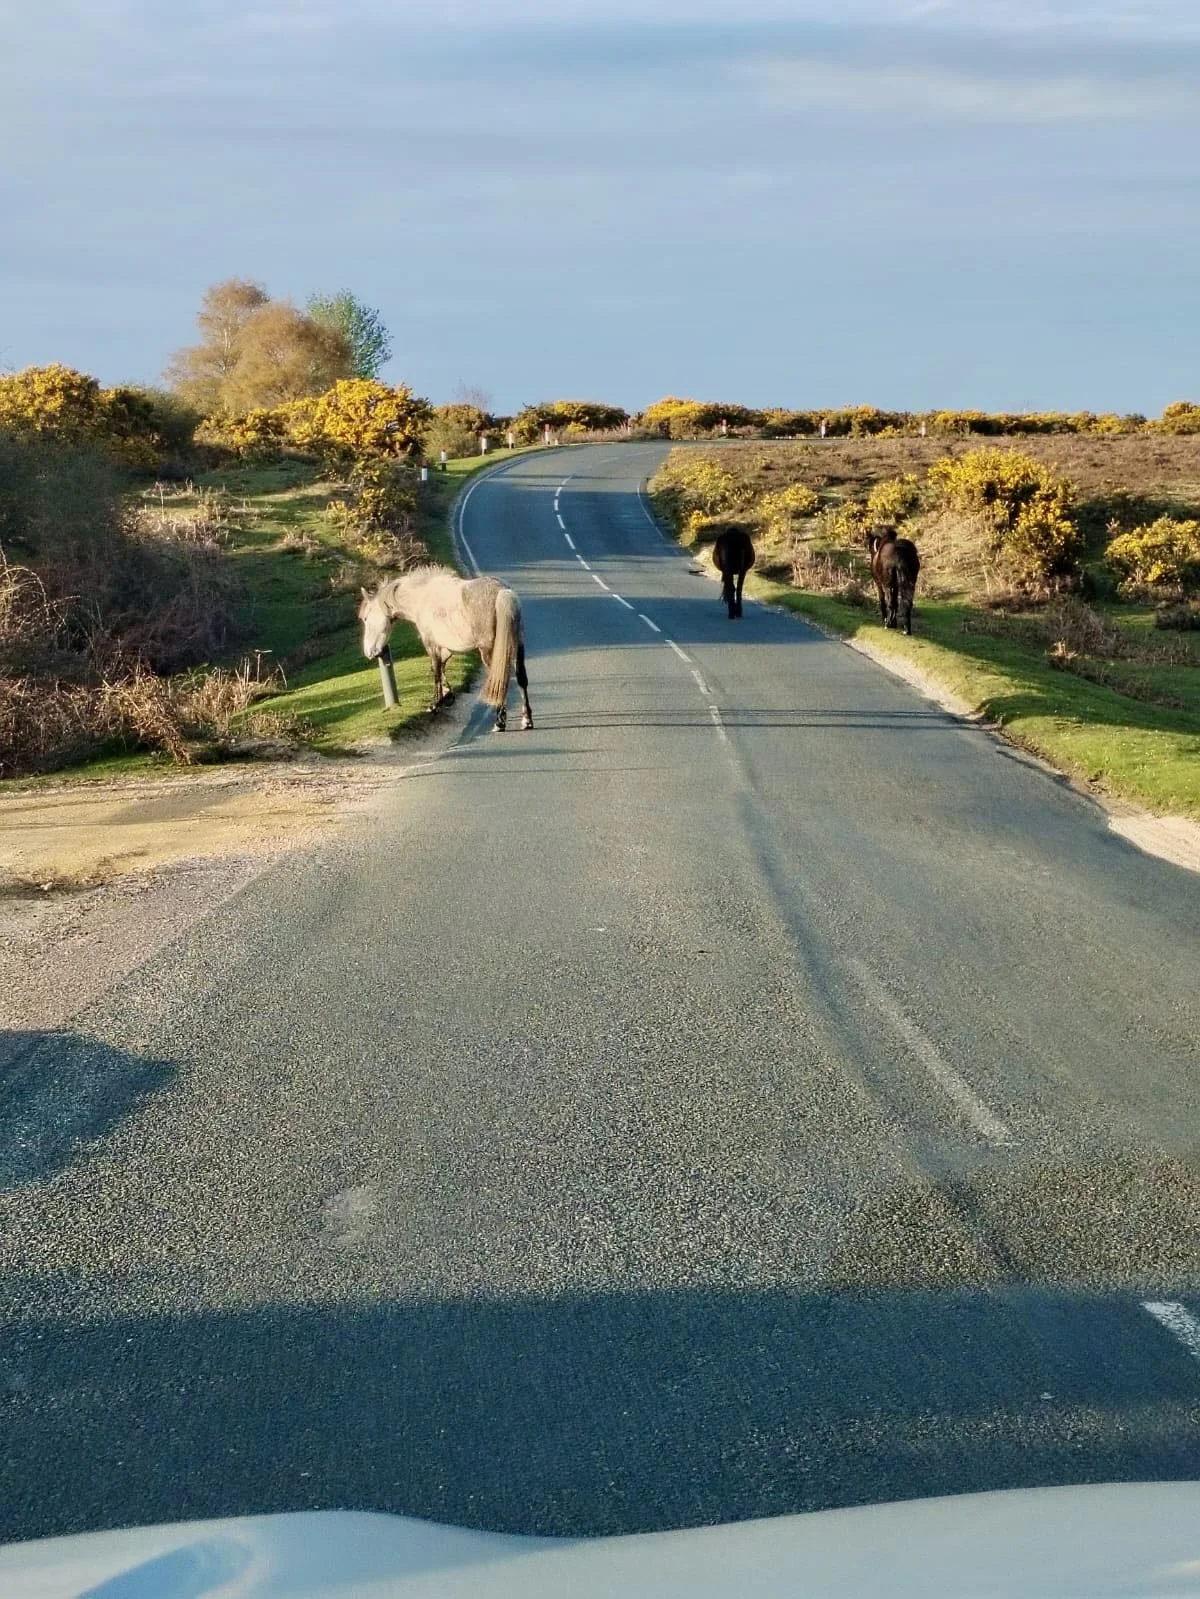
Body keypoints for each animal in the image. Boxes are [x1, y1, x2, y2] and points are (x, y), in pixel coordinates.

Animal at [358, 565, 533, 732]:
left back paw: (499, 722)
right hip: (518, 646)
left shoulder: (432, 644)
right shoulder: (446, 648)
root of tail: (502, 592)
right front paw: (447, 695)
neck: (422, 597)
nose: (369, 652)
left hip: (491, 652)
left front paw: (435, 704)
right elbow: (441, 667)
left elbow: (435, 671)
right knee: (521, 679)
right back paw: (526, 720)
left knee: (499, 679)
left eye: (365, 618)